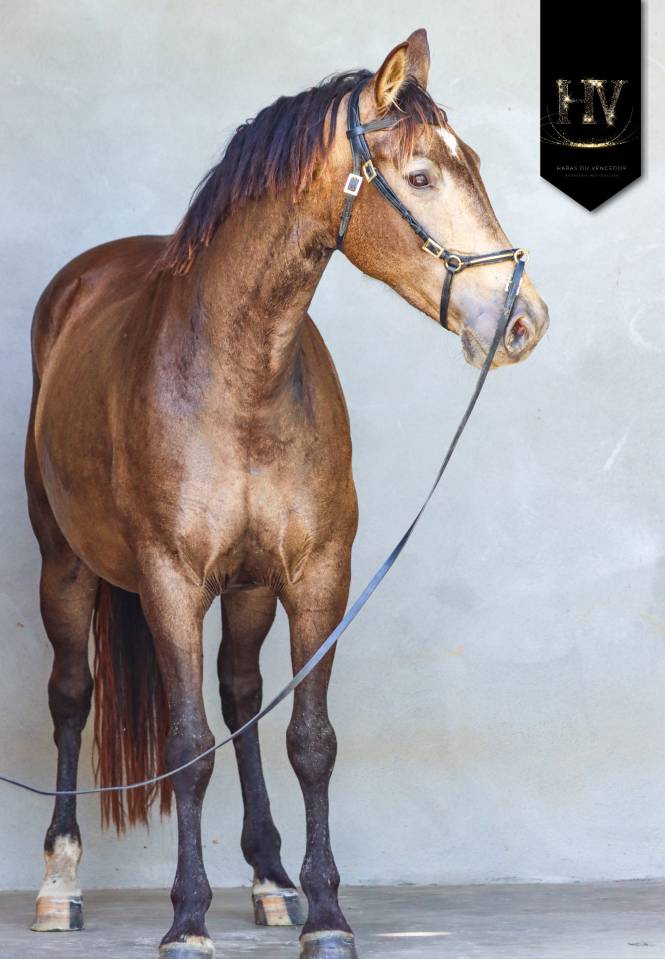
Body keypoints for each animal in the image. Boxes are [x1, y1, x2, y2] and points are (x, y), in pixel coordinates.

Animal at [25, 28, 549, 959]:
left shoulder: (316, 575)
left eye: (474, 165)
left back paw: (270, 878)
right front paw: (186, 920)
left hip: (248, 590)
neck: (241, 373)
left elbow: (307, 739)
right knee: (72, 695)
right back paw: (60, 882)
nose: (522, 320)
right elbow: (187, 744)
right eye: (421, 176)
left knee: (239, 696)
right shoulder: (170, 580)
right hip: (66, 565)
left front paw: (326, 913)